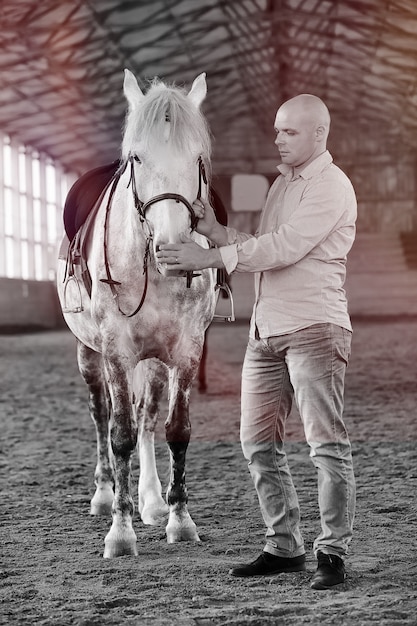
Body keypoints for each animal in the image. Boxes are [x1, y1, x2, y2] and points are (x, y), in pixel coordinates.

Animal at [56, 70, 216, 560]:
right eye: (136, 157)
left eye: (197, 157)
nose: (172, 247)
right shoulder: (116, 350)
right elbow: (120, 433)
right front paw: (120, 531)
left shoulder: (186, 349)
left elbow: (176, 429)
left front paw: (180, 519)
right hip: (89, 352)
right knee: (101, 413)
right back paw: (105, 495)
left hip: (155, 358)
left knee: (147, 416)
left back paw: (152, 501)